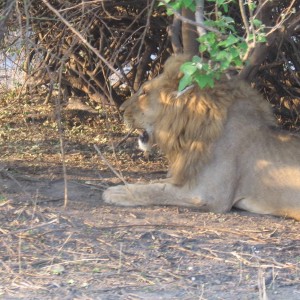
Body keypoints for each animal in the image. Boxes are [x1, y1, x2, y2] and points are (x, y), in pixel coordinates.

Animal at [102, 54, 300, 220]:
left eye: (144, 92)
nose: (121, 110)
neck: (190, 133)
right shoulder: (187, 175)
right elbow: (155, 182)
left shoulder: (210, 195)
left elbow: (158, 190)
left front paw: (117, 192)